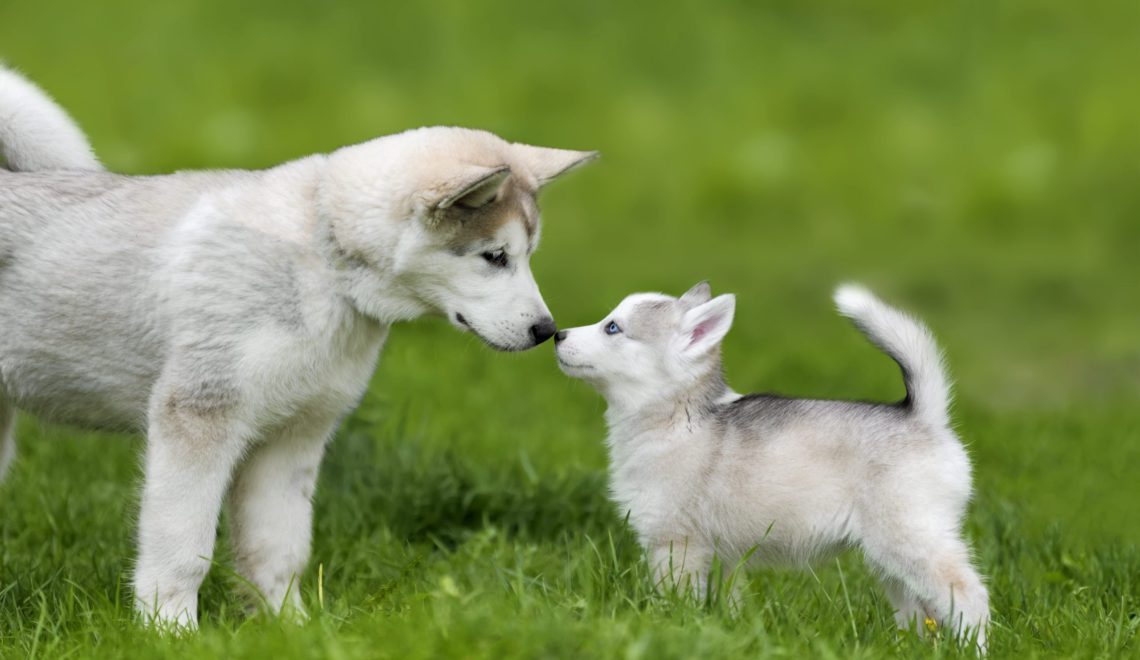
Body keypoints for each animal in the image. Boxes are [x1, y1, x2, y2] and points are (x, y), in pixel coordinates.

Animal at [0, 67, 601, 629]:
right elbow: (183, 552)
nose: (546, 330)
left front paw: (290, 628)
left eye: (527, 255)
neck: (325, 257)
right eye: (494, 256)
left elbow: (278, 551)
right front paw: (171, 632)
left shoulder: (293, 437)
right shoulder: (197, 418)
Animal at [556, 280, 994, 652]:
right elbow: (725, 603)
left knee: (968, 594)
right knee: (921, 613)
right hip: (889, 559)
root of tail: (922, 415)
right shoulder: (723, 557)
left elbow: (675, 599)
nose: (557, 333)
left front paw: (669, 627)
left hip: (910, 540)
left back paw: (973, 648)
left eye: (613, 328)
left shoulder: (677, 545)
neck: (680, 418)